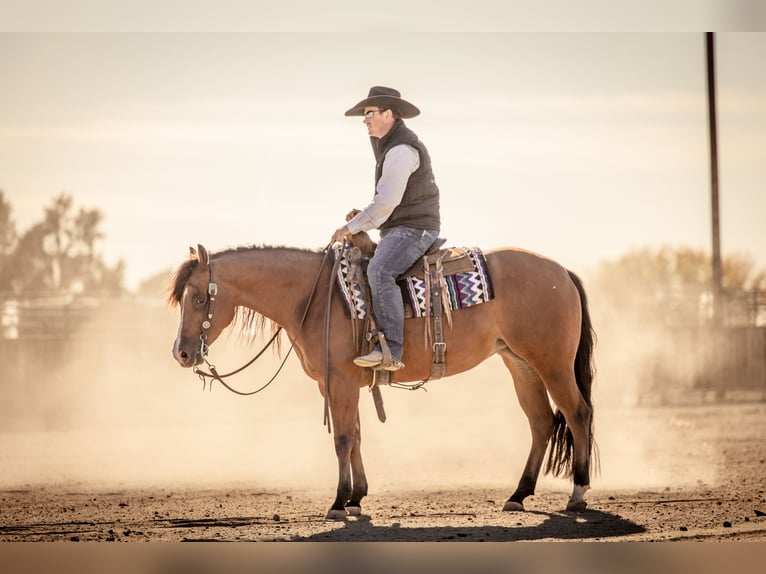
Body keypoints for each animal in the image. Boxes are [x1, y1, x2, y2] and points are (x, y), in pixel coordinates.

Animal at [171, 241, 596, 520]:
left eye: (198, 298)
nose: (181, 353)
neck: (313, 297)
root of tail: (562, 271)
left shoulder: (340, 381)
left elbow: (343, 439)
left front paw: (338, 503)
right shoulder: (338, 385)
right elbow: (357, 435)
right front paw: (357, 498)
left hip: (552, 364)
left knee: (578, 413)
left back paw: (577, 493)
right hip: (521, 364)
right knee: (541, 421)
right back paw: (519, 494)